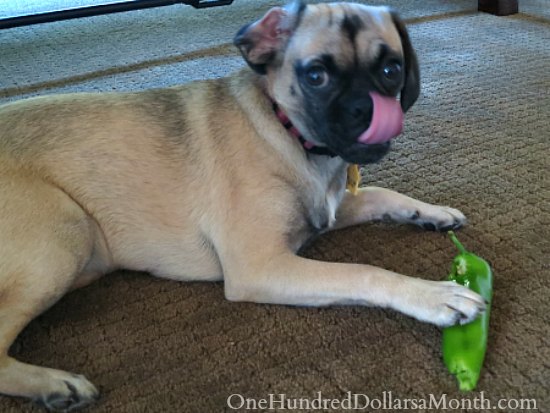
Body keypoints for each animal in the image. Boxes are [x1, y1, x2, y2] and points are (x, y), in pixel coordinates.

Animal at [0, 1, 486, 410]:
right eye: (316, 76)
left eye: (390, 69)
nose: (366, 109)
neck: (289, 132)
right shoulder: (261, 266)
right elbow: (363, 272)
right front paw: (432, 294)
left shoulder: (327, 210)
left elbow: (383, 195)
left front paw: (430, 212)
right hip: (66, 232)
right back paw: (54, 384)